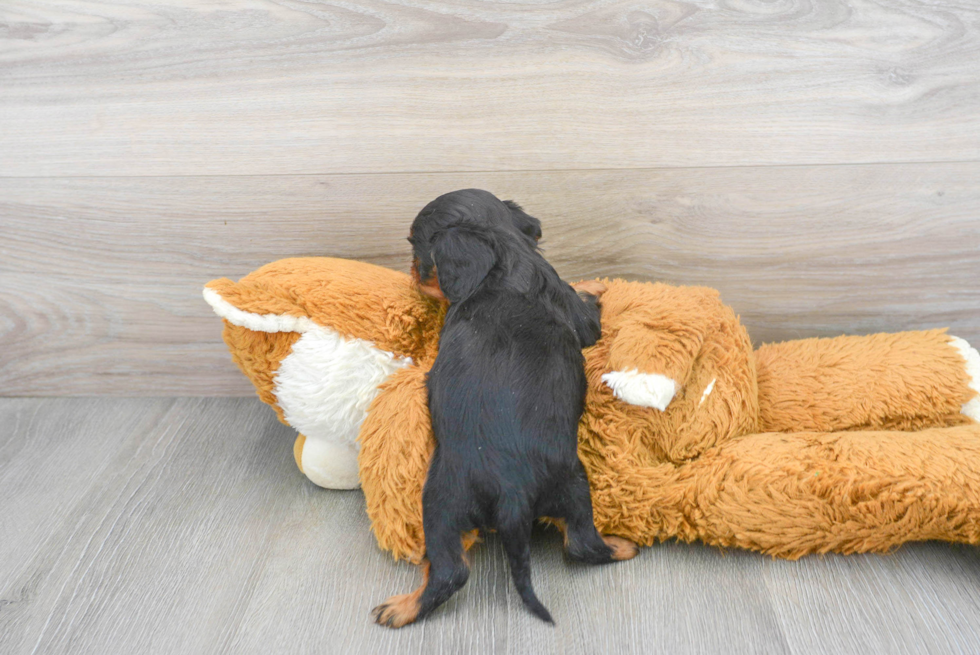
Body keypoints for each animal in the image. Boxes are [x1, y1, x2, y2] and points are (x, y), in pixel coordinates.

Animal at [372, 191, 640, 632]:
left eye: (416, 248)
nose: (410, 271)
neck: (507, 257)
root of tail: (513, 494)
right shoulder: (581, 318)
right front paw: (594, 284)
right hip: (568, 484)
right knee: (579, 543)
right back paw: (622, 546)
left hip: (443, 501)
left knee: (453, 571)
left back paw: (402, 608)